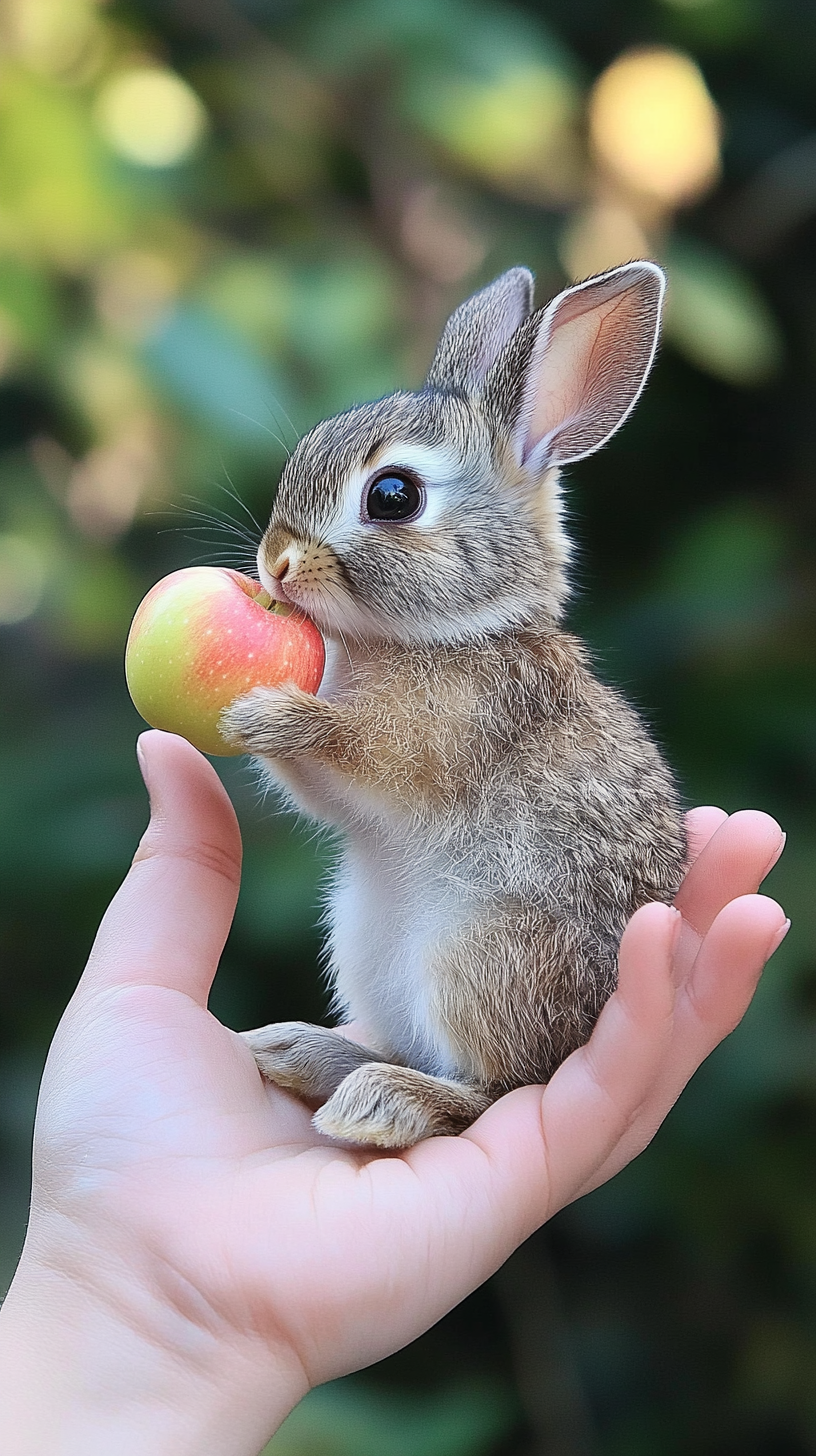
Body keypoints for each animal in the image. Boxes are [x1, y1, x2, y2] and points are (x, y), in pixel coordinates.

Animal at [222, 262, 687, 1147]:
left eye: (392, 495)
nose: (275, 564)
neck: (451, 634)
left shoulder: (445, 734)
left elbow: (360, 751)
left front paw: (269, 720)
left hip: (480, 958)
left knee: (495, 1089)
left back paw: (386, 1103)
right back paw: (303, 1054)